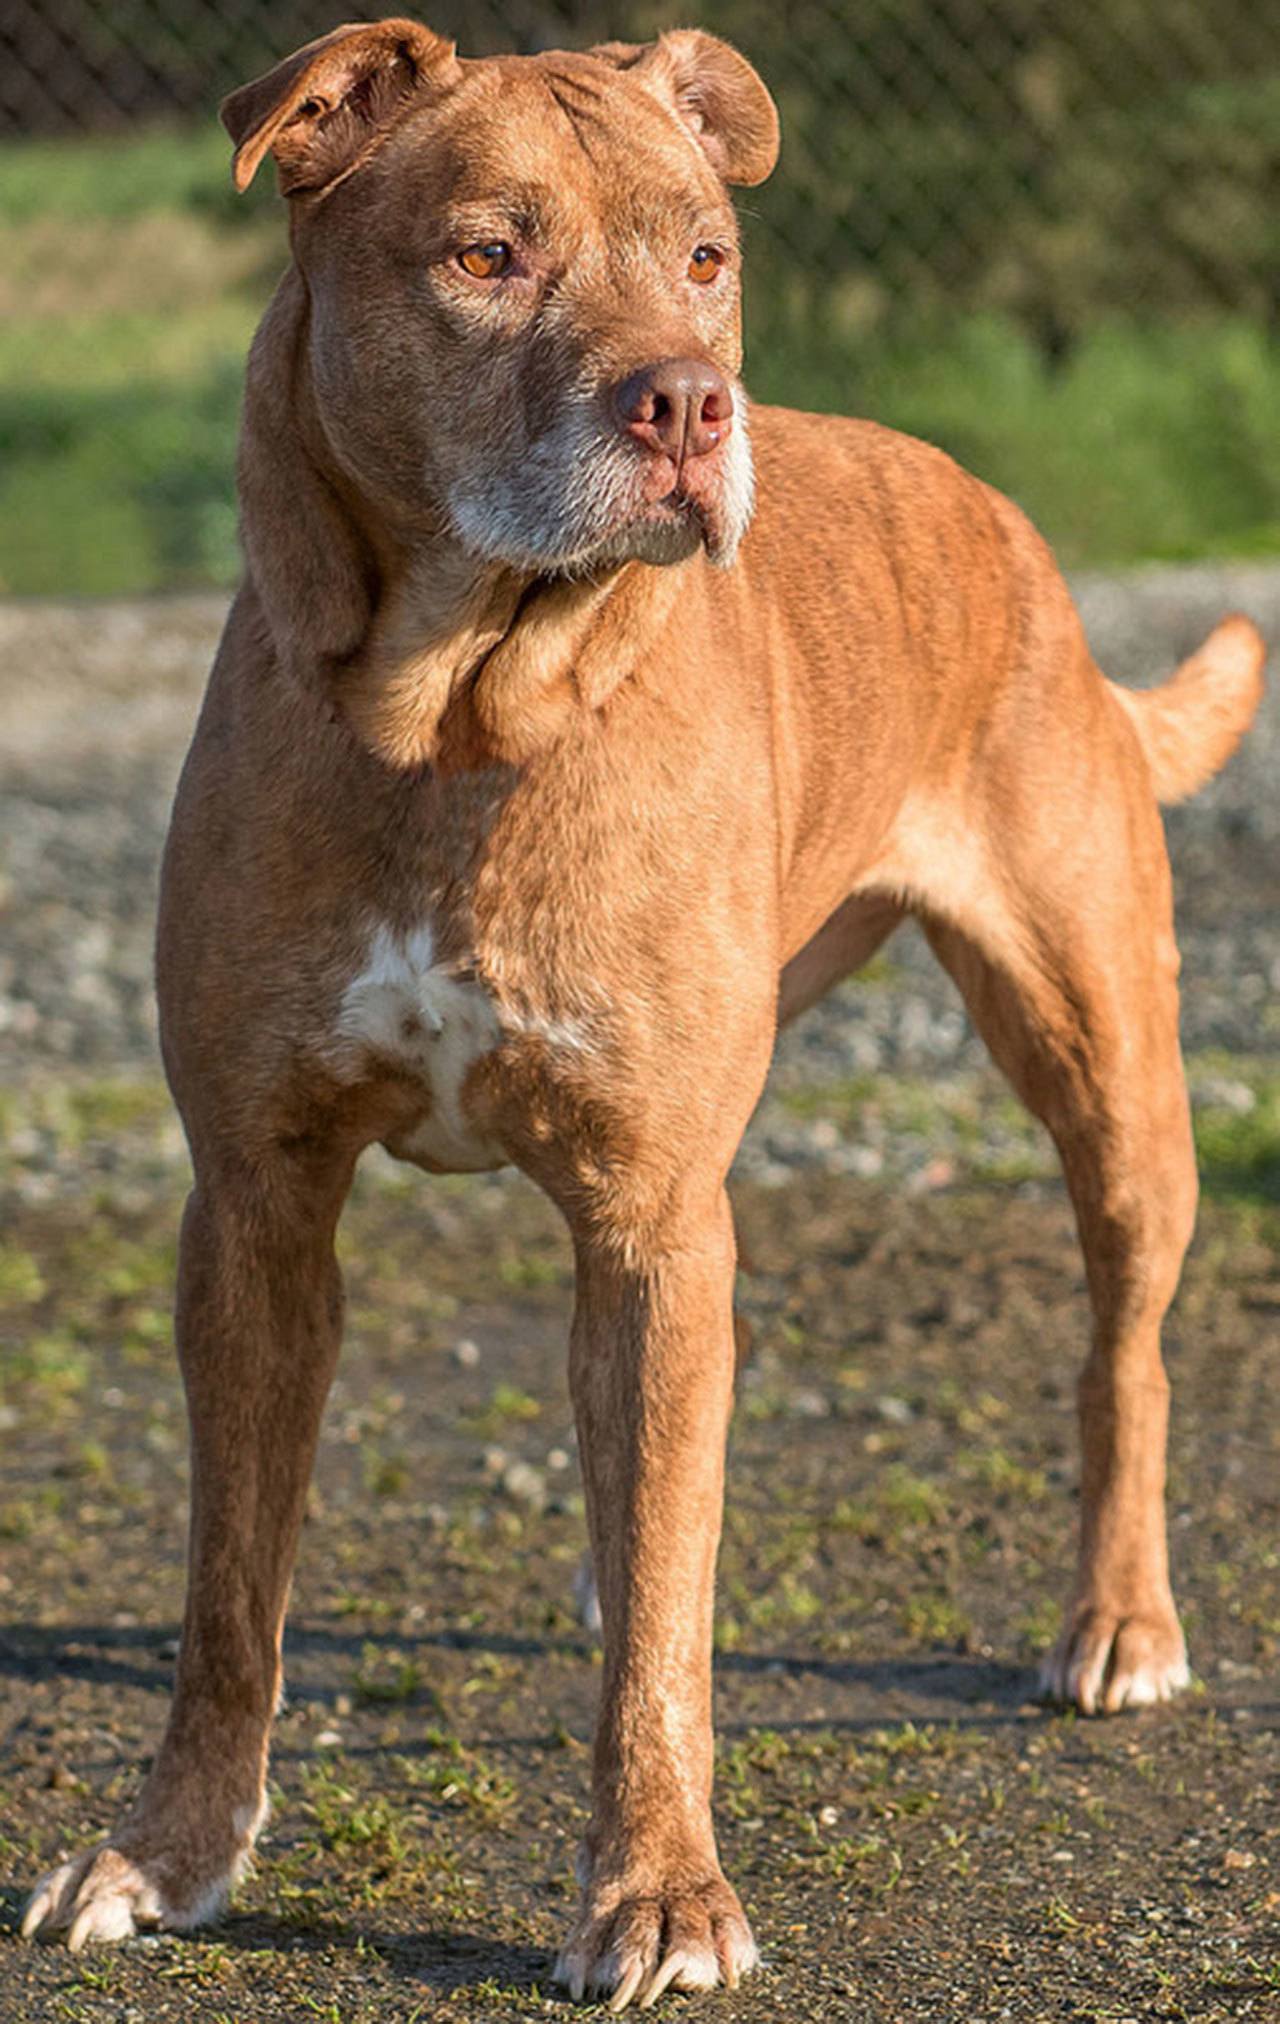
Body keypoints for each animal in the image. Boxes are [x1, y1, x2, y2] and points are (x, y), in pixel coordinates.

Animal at [20, 15, 1263, 2007]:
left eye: (706, 256)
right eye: (484, 254)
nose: (689, 407)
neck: (458, 717)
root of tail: (1010, 527)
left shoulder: (660, 1211)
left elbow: (664, 1643)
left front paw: (659, 1889)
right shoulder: (259, 1203)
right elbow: (230, 1592)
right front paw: (171, 1852)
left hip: (1104, 1069)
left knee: (1118, 1353)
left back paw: (1121, 1618)